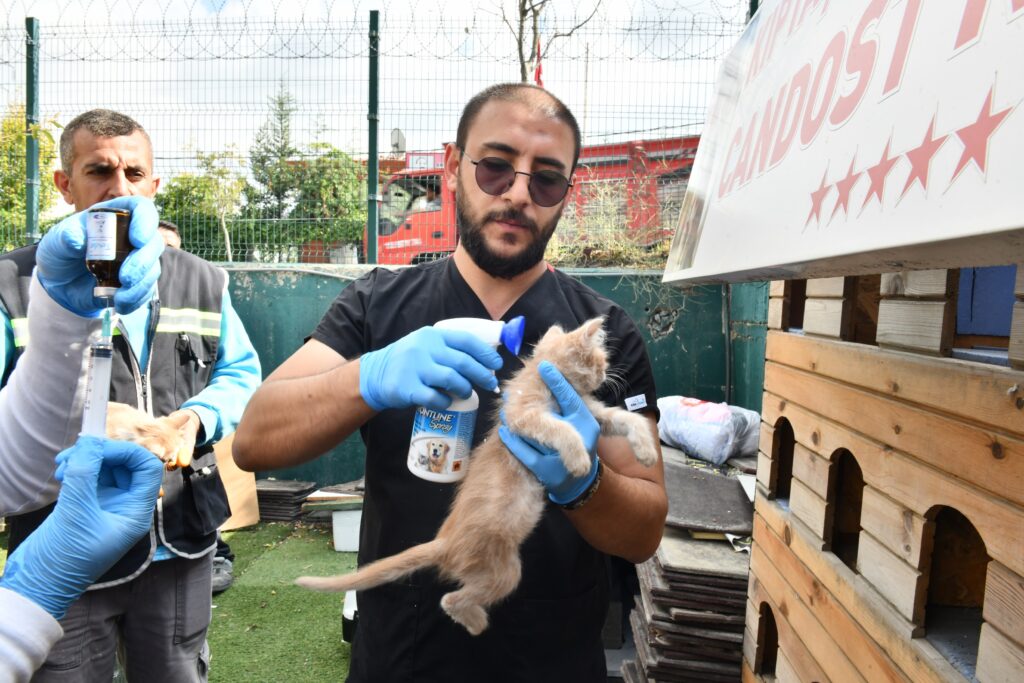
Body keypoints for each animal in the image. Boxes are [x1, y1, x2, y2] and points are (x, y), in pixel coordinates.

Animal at [296, 316, 660, 635]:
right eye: (599, 360)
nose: (605, 374)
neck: (548, 382)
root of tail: (445, 541)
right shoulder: (524, 416)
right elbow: (561, 428)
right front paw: (580, 461)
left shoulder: (591, 414)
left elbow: (627, 419)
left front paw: (646, 451)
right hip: (504, 570)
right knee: (450, 599)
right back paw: (476, 623)